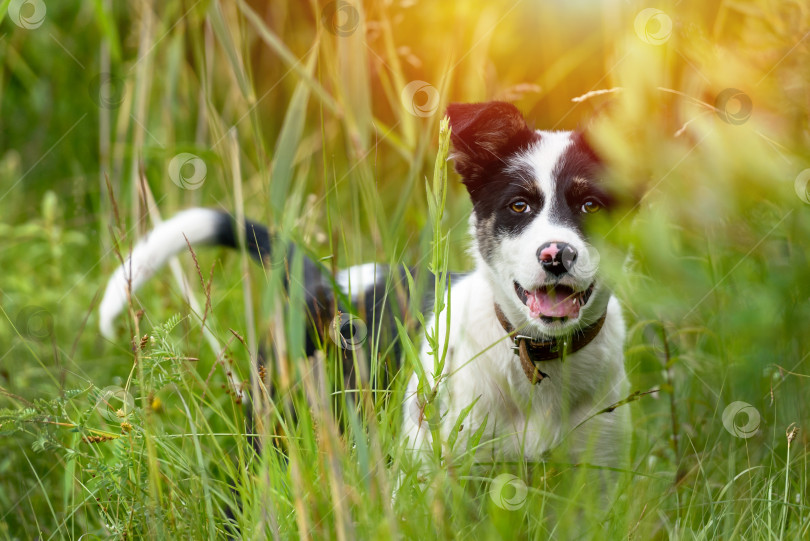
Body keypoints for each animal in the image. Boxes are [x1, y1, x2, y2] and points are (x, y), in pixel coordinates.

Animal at [101, 101, 628, 472]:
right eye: (519, 206)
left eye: (592, 206)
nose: (556, 255)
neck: (537, 356)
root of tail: (324, 282)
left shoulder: (594, 480)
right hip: (272, 427)